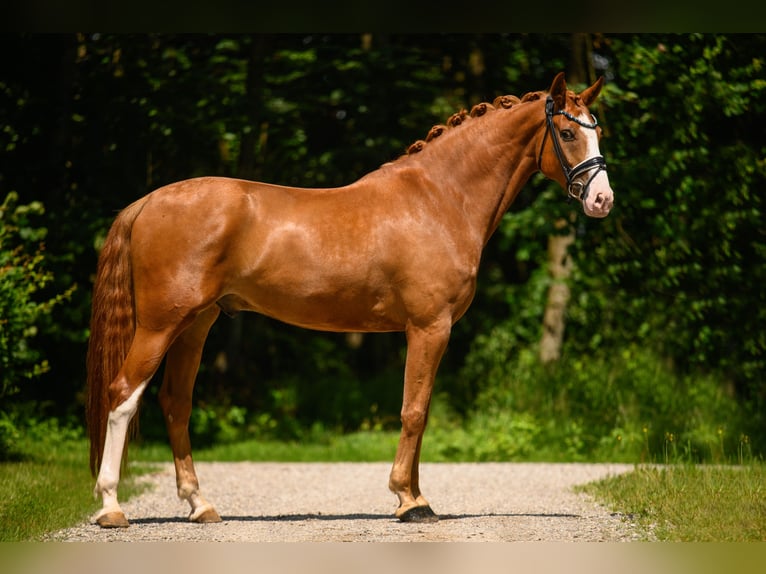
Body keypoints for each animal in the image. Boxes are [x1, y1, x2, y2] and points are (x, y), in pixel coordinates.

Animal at [85, 73, 612, 532]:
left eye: (598, 131)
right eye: (568, 132)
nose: (602, 200)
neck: (440, 199)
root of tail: (147, 202)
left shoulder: (427, 331)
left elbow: (420, 411)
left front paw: (412, 496)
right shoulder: (430, 327)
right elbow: (413, 411)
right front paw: (409, 501)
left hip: (195, 326)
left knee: (176, 404)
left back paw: (200, 505)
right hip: (159, 326)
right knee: (123, 395)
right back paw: (111, 506)